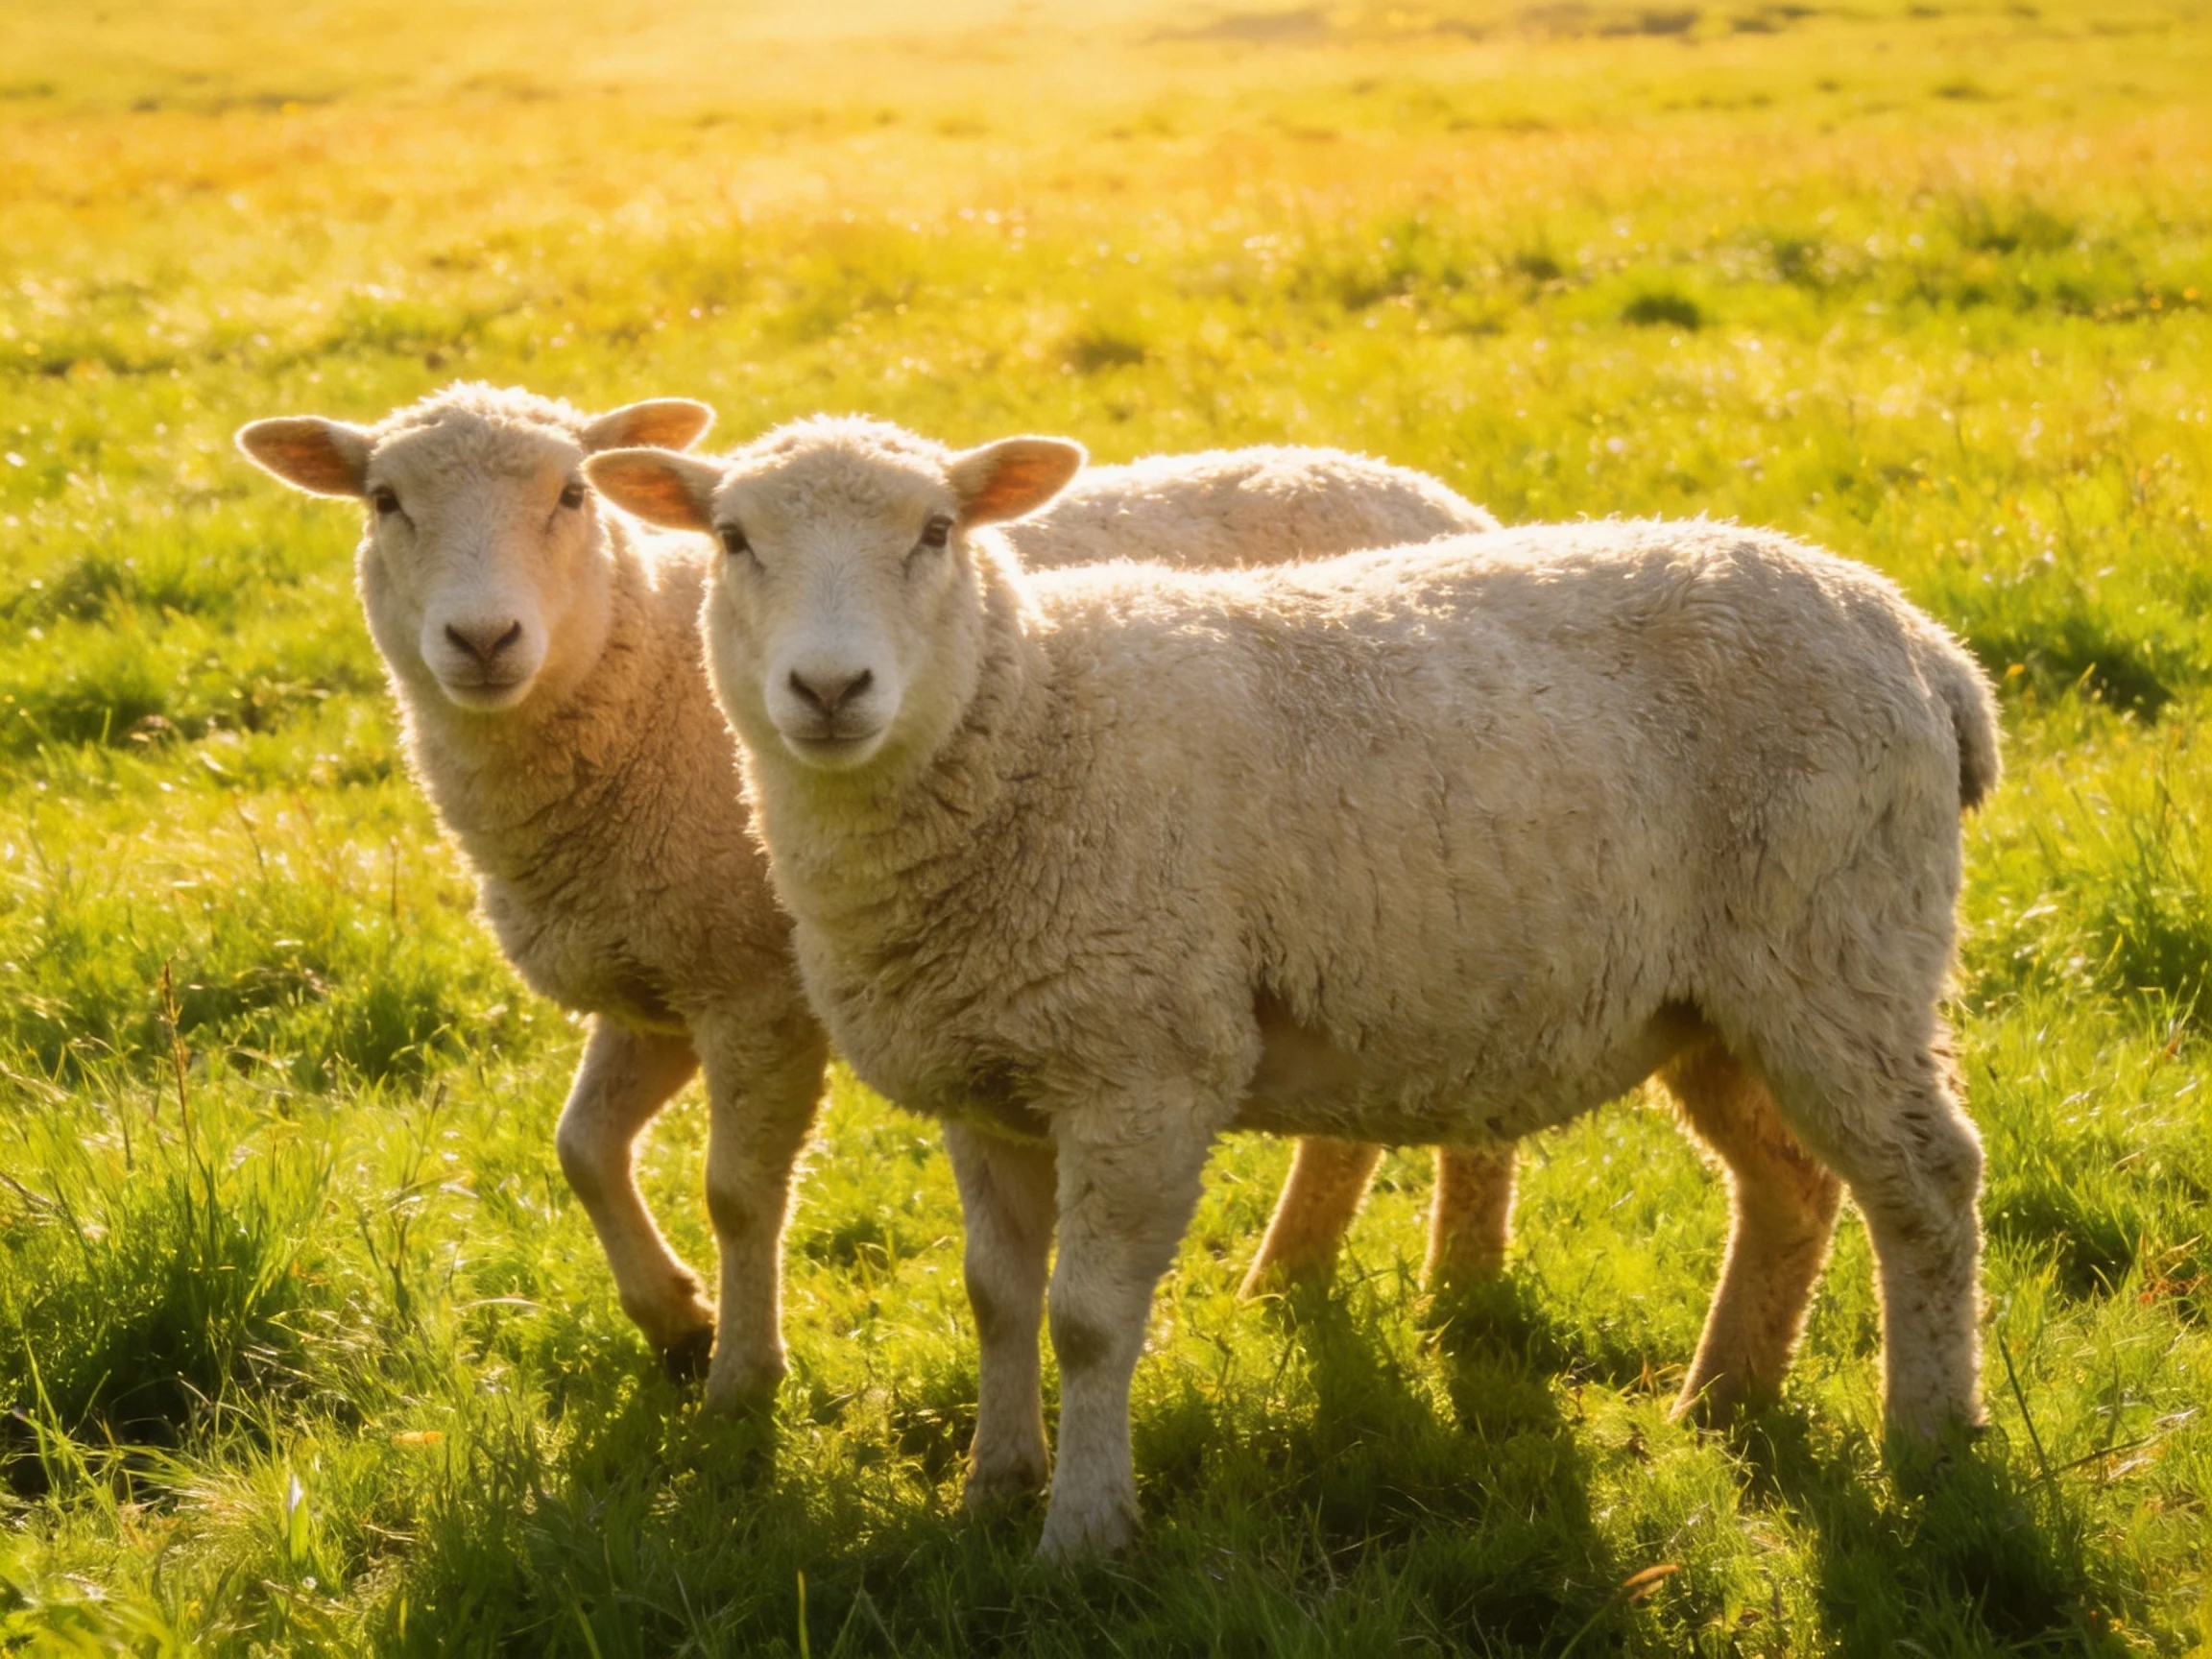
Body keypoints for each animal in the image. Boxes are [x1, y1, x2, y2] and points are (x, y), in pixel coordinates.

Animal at [236, 384, 1508, 1413]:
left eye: (569, 495)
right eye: (385, 501)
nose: (484, 637)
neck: (637, 679)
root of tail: (1448, 501)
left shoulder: (752, 987)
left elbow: (738, 1193)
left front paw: (742, 1380)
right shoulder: (659, 972)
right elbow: (581, 1150)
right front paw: (673, 1318)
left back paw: (1459, 1296)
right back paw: (1290, 1279)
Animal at [585, 417, 2000, 1560]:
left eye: (937, 532)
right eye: (731, 539)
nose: (829, 688)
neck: (1031, 724)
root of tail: (1927, 646)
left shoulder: (1142, 1063)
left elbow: (1087, 1319)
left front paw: (1083, 1535)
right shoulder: (988, 1078)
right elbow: (997, 1298)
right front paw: (994, 1491)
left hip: (1842, 948)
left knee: (1927, 1184)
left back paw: (1929, 1439)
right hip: (1723, 999)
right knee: (1791, 1184)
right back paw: (1725, 1399)